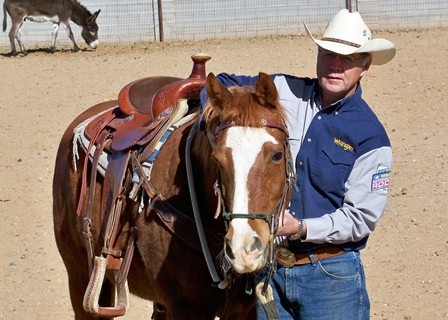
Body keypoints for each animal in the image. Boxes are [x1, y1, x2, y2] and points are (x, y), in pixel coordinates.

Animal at [52, 53, 292, 318]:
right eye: (216, 160)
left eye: (277, 155)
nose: (245, 248)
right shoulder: (185, 306)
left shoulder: (244, 309)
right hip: (80, 275)